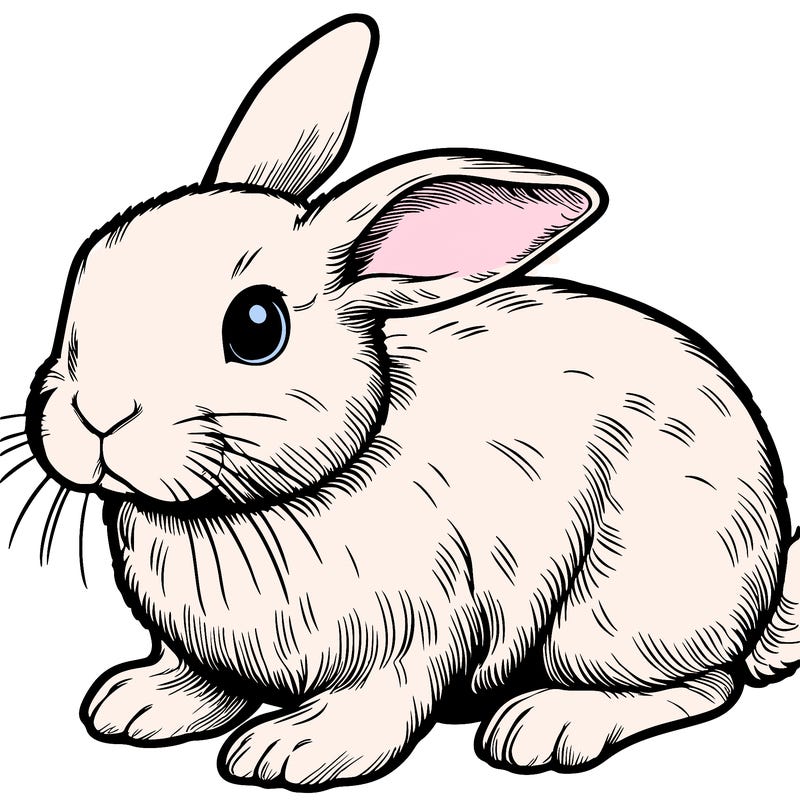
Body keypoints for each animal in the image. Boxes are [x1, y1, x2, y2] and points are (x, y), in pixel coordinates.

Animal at [16, 11, 800, 791]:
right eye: (85, 271)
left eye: (257, 326)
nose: (96, 415)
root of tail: (766, 587)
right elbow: (204, 681)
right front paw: (137, 704)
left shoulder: (420, 630)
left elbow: (381, 701)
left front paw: (292, 750)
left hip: (618, 615)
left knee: (704, 685)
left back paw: (547, 725)